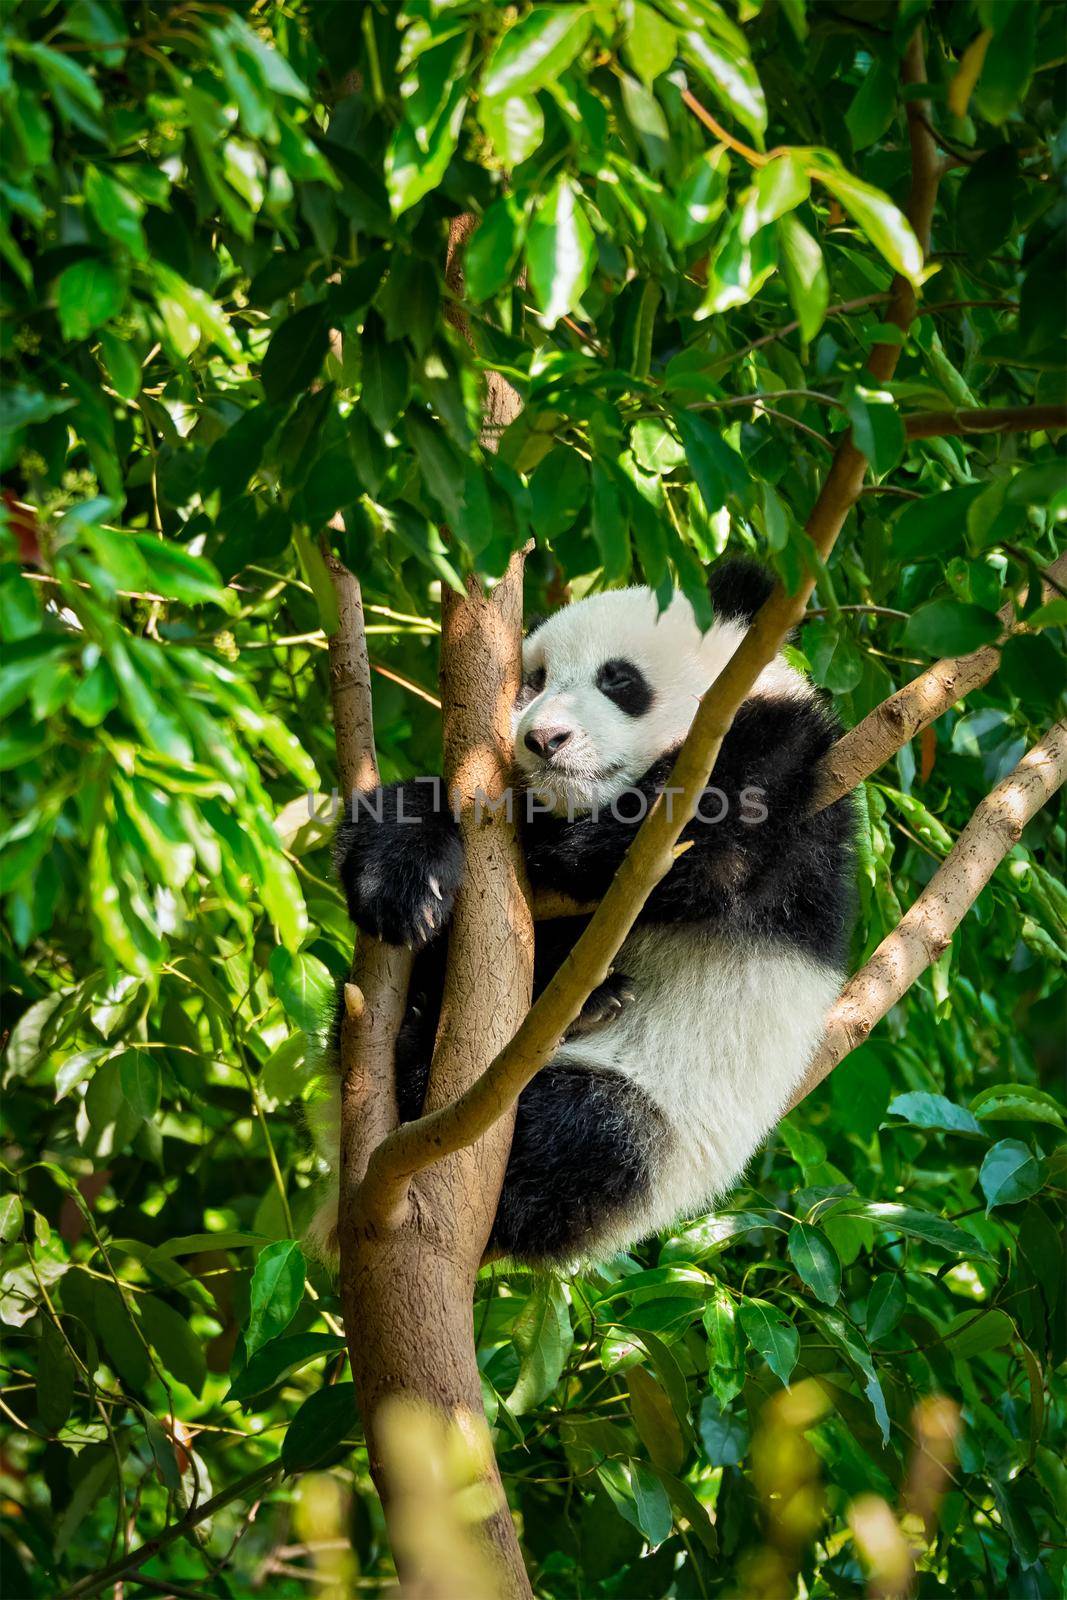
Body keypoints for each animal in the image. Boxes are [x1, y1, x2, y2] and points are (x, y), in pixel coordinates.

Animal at [313, 556, 857, 1267]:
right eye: (536, 680)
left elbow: (697, 842)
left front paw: (561, 845)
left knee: (579, 1142)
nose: (544, 739)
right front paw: (399, 875)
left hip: (662, 1120)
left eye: (618, 678)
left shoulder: (795, 791)